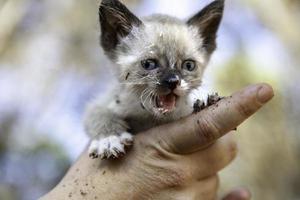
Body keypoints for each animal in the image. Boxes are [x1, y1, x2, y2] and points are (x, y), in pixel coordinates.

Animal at [83, 0, 224, 159]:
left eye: (189, 65)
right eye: (148, 64)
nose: (173, 81)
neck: (151, 119)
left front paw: (205, 103)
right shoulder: (102, 102)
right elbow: (99, 114)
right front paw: (109, 139)